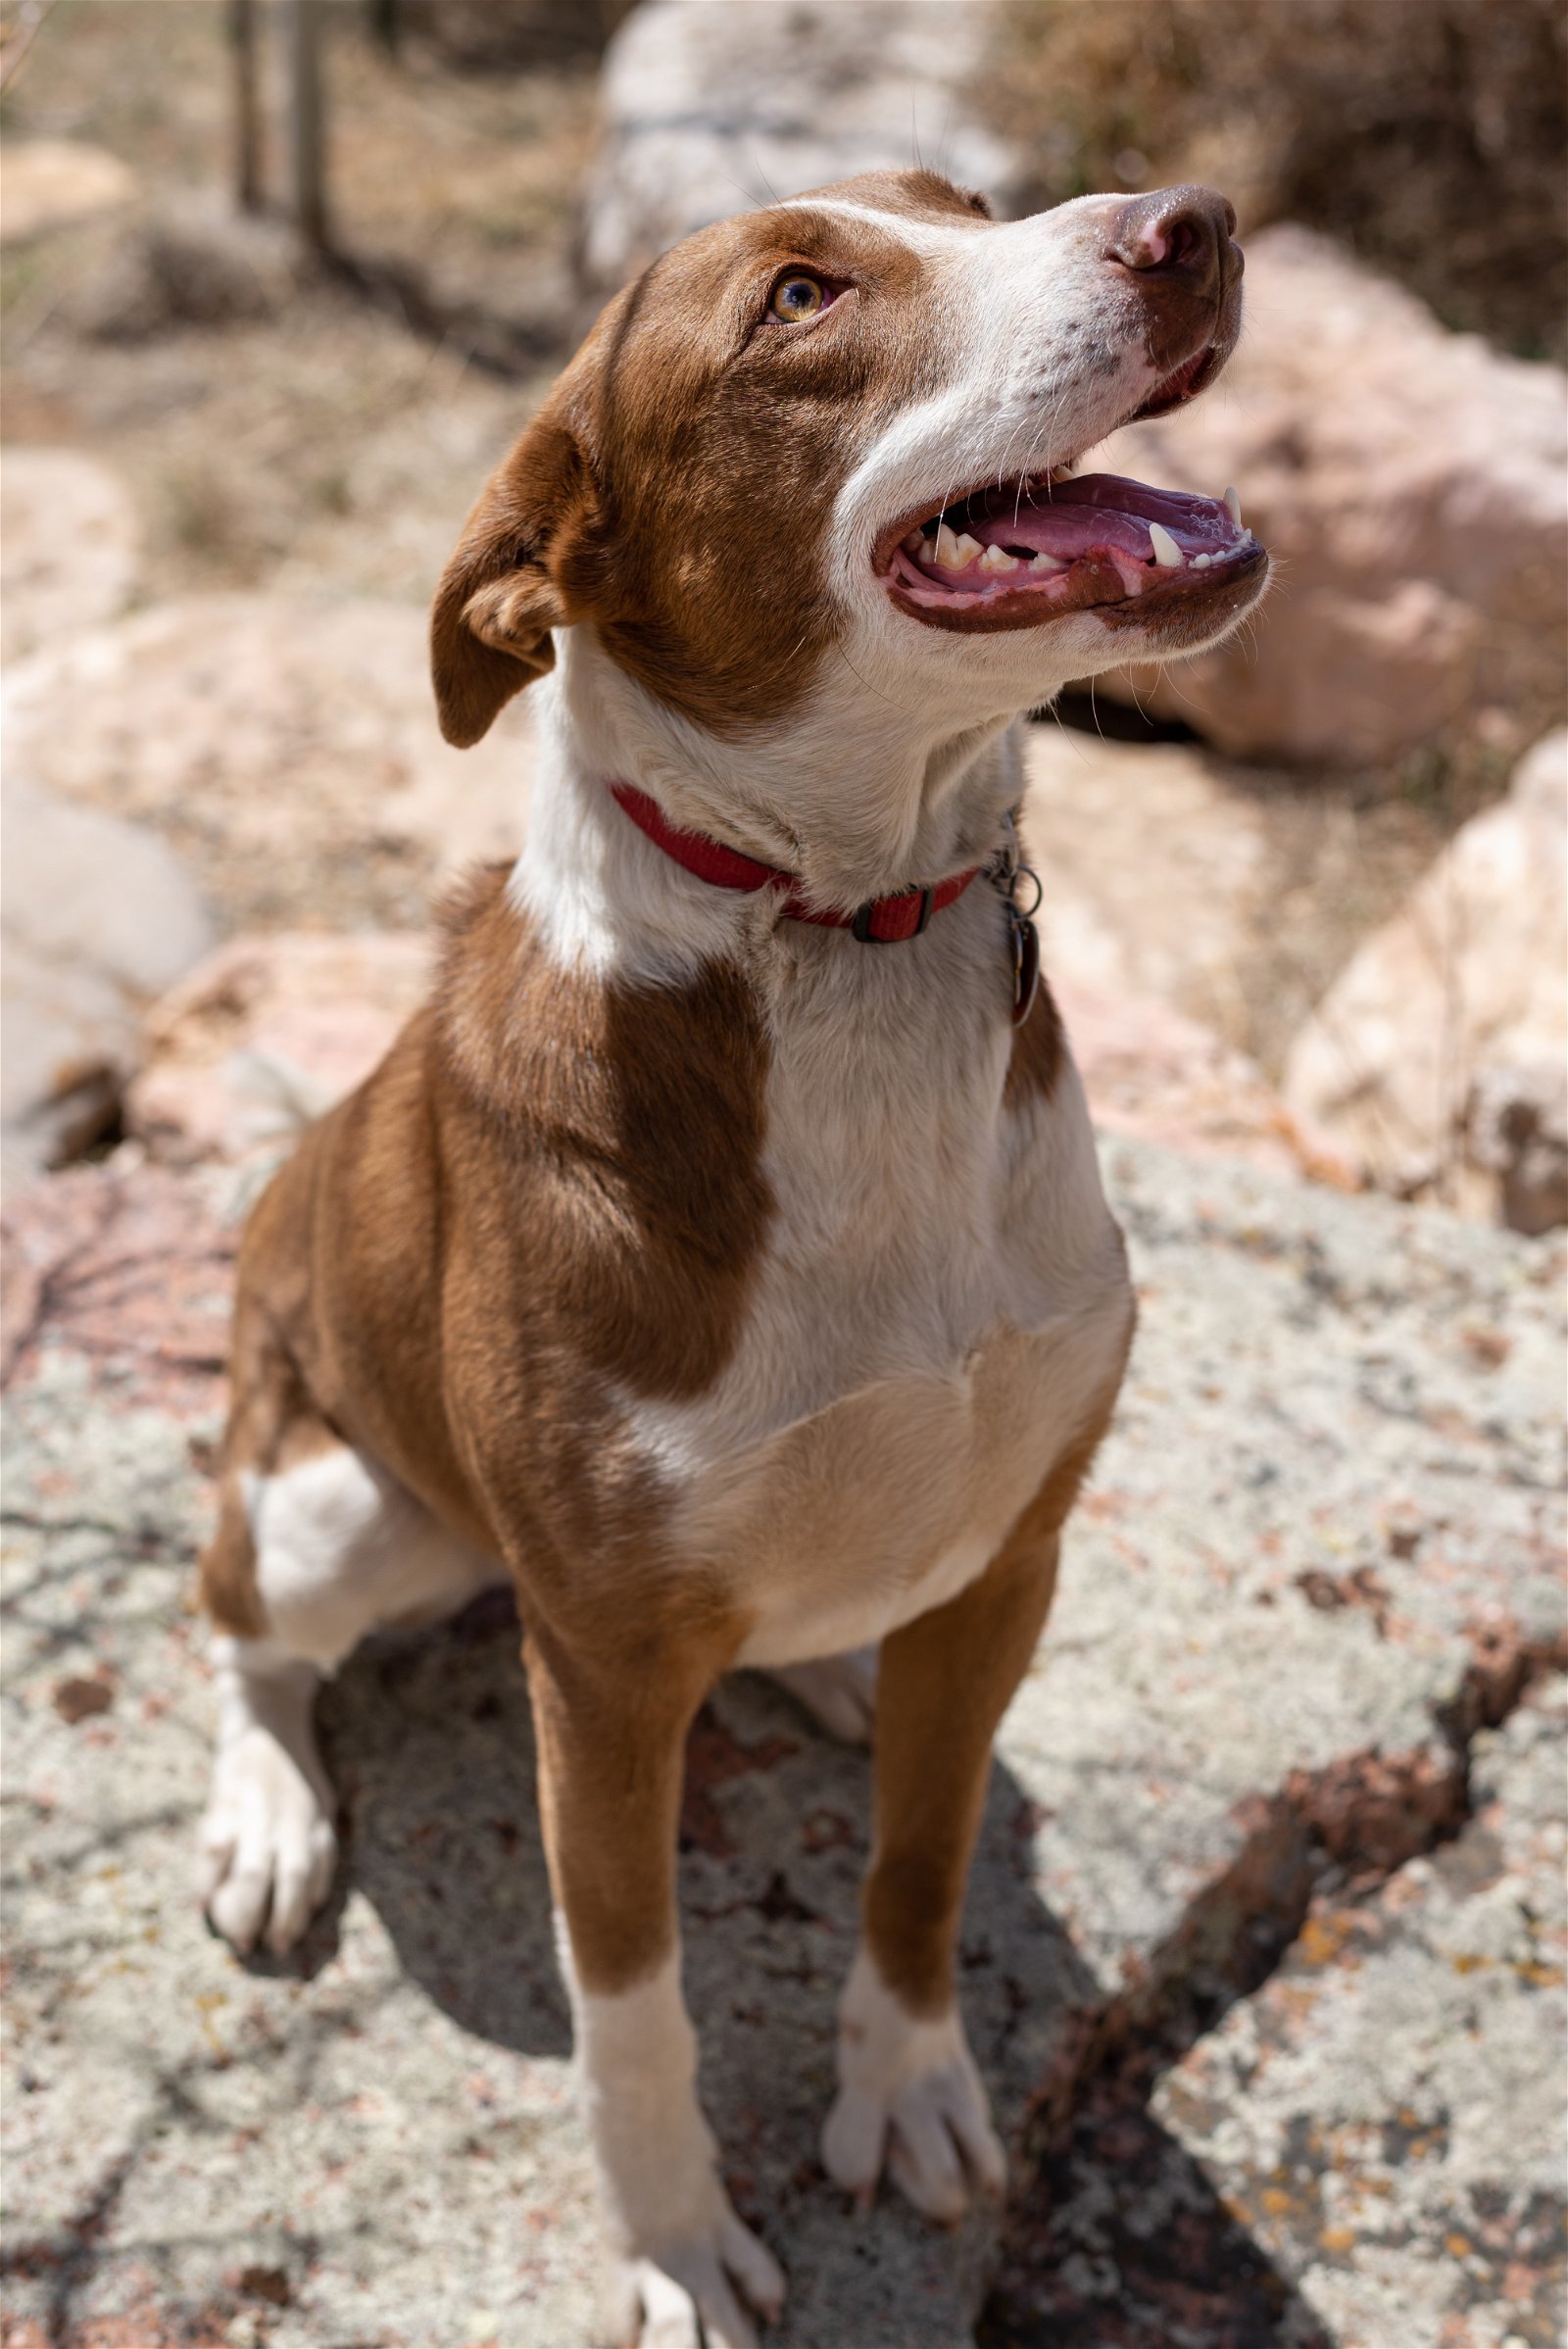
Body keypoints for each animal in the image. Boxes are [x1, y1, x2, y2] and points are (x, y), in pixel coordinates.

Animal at [199, 170, 1257, 2349]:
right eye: (796, 302)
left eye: (966, 200)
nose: (1190, 221)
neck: (846, 931)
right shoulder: (600, 1677)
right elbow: (633, 2012)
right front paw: (670, 2243)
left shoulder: (1018, 1550)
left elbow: (922, 1864)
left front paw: (908, 2082)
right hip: (341, 1499)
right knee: (237, 1612)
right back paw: (265, 1805)